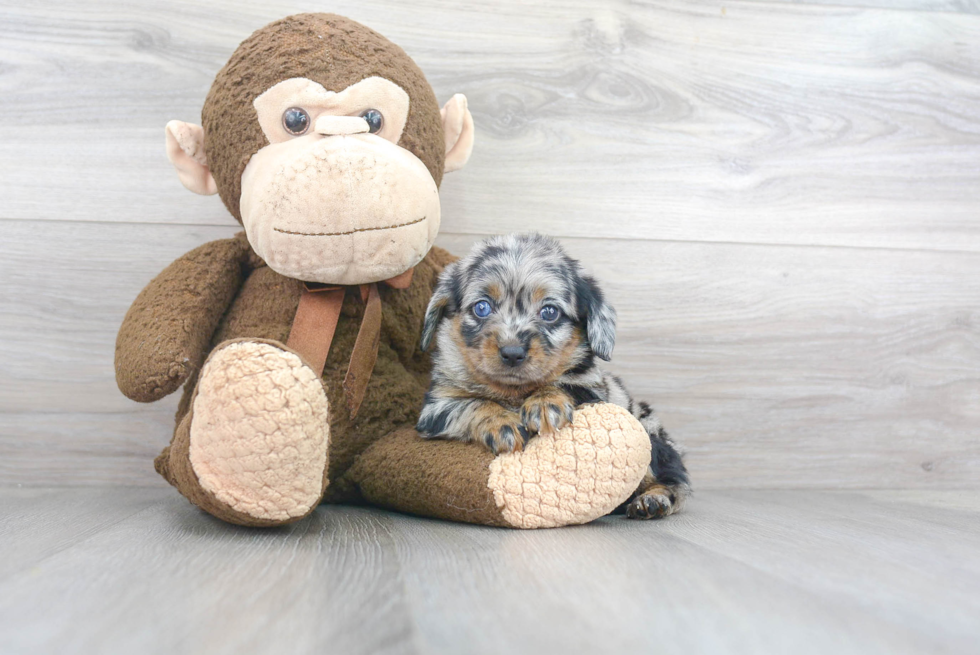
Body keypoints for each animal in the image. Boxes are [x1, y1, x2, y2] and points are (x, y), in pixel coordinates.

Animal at [418, 233, 692, 520]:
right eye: (482, 307)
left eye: (550, 312)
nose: (512, 353)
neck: (513, 392)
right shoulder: (435, 409)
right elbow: (472, 404)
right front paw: (501, 424)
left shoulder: (592, 389)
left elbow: (562, 385)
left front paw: (544, 402)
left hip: (650, 436)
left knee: (674, 481)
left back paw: (652, 500)